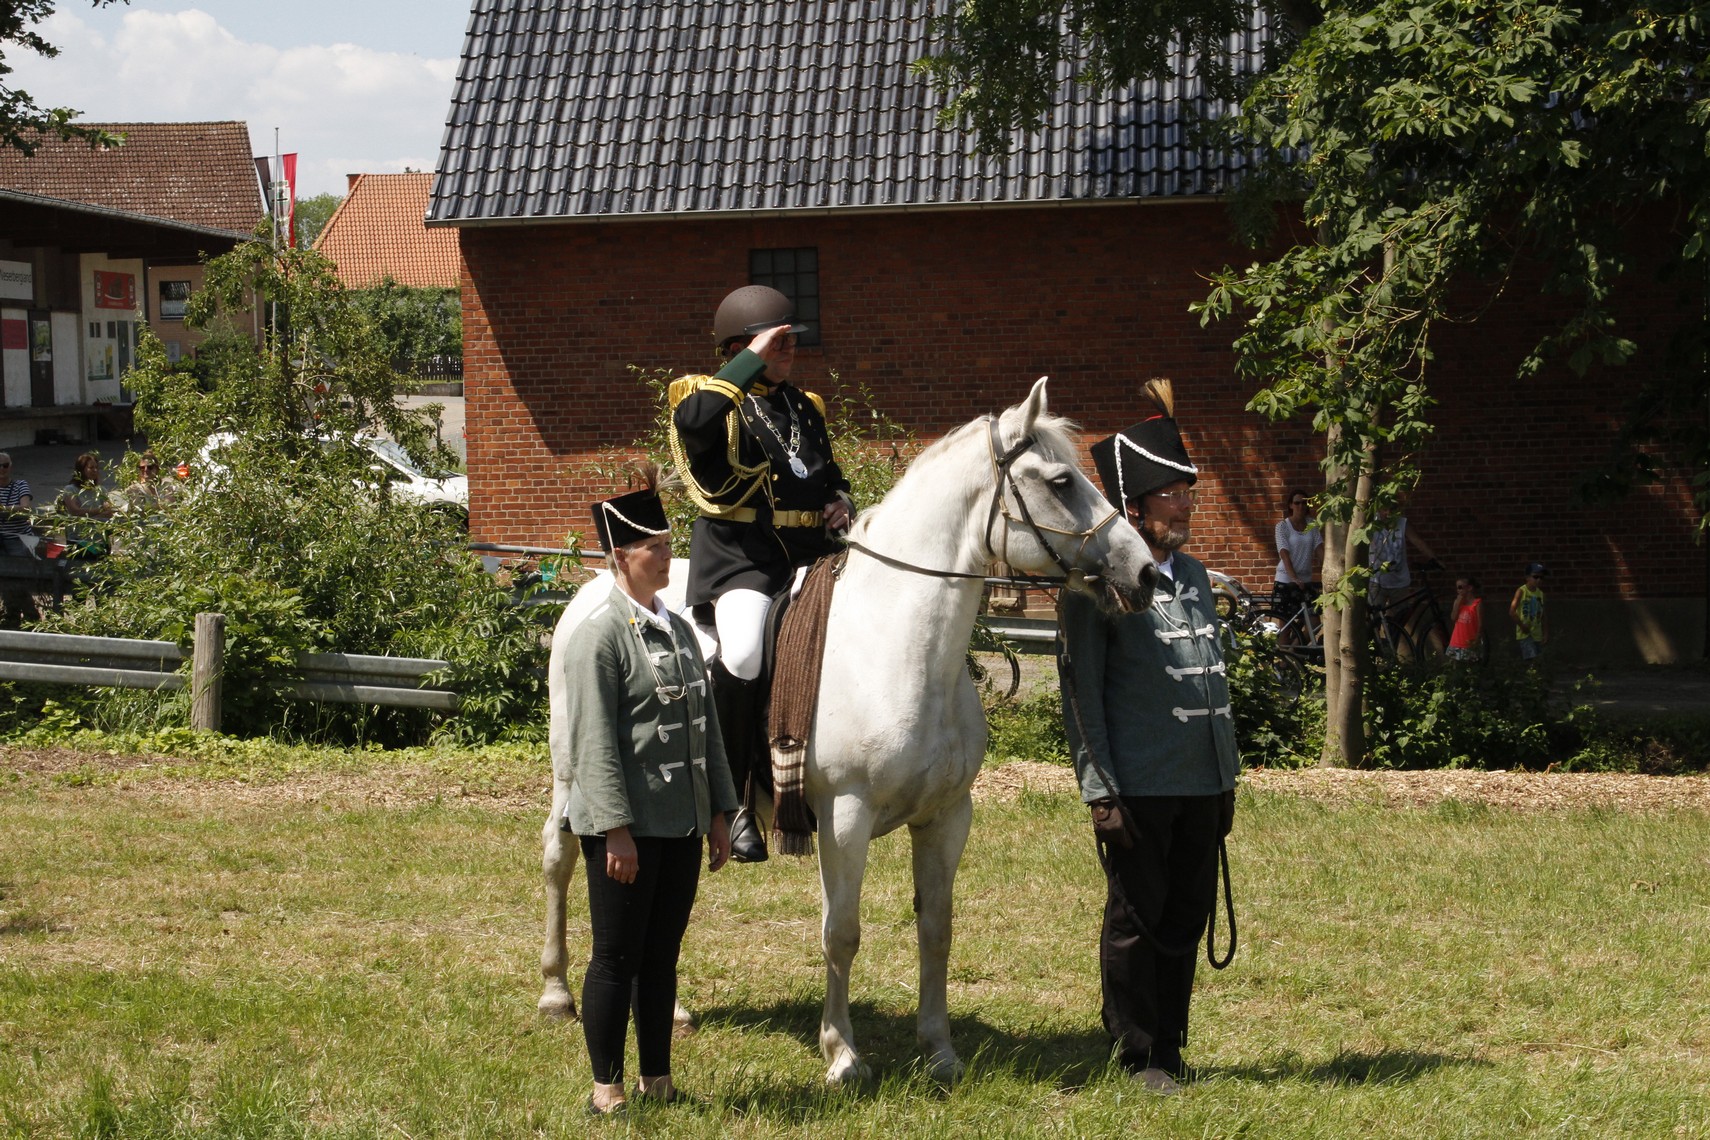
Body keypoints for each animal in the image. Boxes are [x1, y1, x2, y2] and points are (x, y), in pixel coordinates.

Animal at [537, 376, 1158, 1083]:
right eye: (1060, 481)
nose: (1144, 573)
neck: (899, 642)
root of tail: (597, 589)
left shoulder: (947, 816)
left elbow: (936, 928)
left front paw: (939, 1051)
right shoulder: (844, 815)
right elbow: (842, 931)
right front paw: (843, 1055)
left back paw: (672, 1012)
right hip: (575, 773)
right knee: (559, 856)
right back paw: (556, 994)